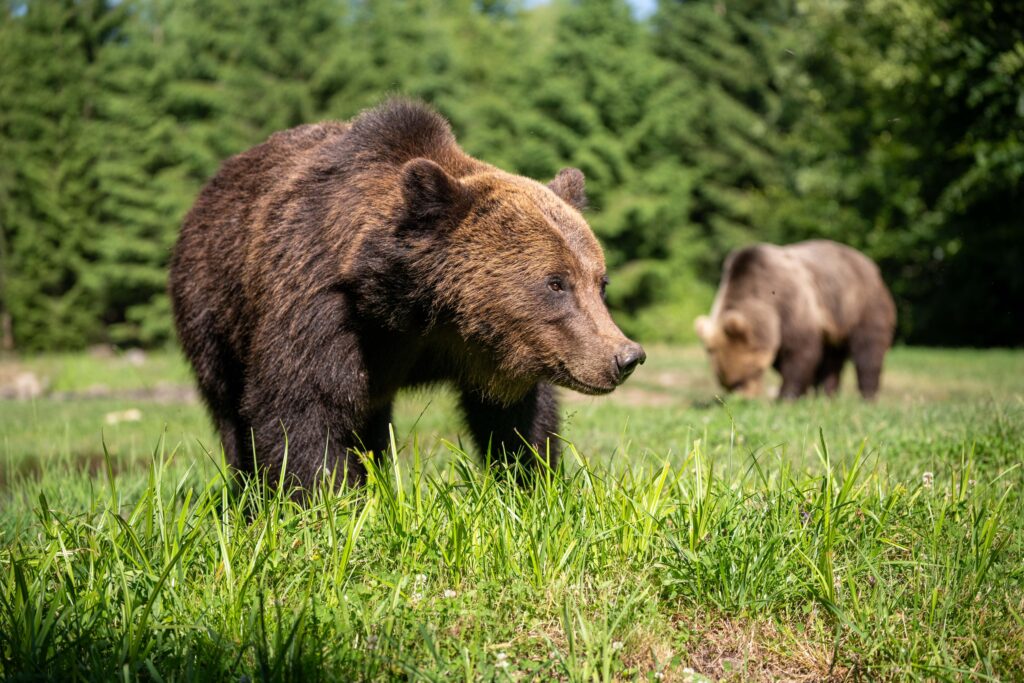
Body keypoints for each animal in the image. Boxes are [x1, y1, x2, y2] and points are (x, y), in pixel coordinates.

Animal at [169, 99, 645, 489]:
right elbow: (301, 408)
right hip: (212, 308)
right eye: (555, 282)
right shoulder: (322, 309)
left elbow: (518, 420)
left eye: (600, 281)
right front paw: (328, 503)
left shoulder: (485, 353)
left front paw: (530, 482)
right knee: (230, 411)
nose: (626, 356)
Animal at [694, 240, 895, 400]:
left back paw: (867, 395)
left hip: (861, 304)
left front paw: (787, 396)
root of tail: (869, 263)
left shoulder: (793, 305)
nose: (744, 397)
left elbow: (800, 352)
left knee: (868, 347)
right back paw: (827, 393)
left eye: (744, 377)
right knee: (832, 358)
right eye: (728, 383)